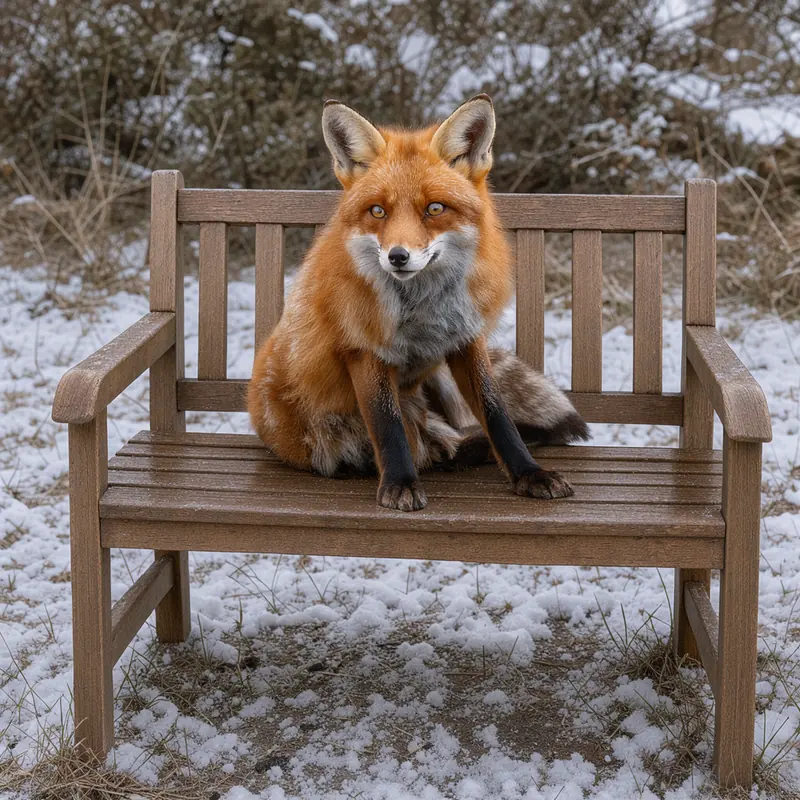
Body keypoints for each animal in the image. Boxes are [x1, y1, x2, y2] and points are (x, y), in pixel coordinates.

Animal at [248, 94, 589, 511]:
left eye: (435, 209)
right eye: (378, 211)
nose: (397, 256)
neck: (424, 308)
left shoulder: (465, 340)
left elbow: (498, 416)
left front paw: (527, 472)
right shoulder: (364, 350)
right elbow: (388, 425)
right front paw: (400, 484)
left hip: (439, 379)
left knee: (455, 439)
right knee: (427, 445)